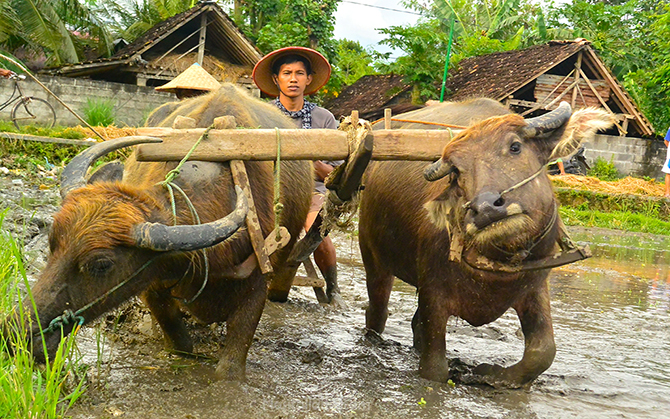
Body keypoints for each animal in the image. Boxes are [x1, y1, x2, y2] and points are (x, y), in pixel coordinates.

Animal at [8, 84, 312, 380]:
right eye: (52, 243)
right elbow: (180, 342)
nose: (16, 334)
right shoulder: (152, 285)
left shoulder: (259, 283)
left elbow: (231, 365)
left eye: (101, 265)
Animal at [362, 98, 616, 388]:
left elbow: (543, 352)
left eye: (515, 146)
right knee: (378, 311)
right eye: (456, 171)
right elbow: (434, 368)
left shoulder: (536, 286)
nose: (486, 208)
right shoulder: (433, 292)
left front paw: (492, 374)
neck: (499, 258)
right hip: (373, 257)